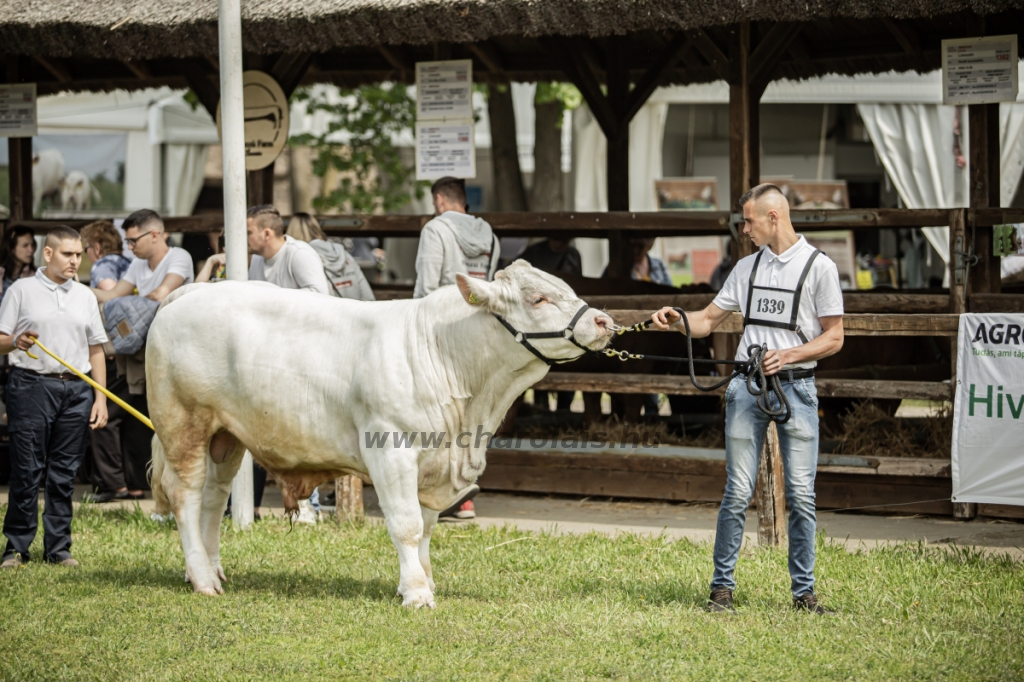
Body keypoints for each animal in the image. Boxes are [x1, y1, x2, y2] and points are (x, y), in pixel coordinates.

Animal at [147, 260, 610, 606]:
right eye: (538, 298)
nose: (604, 320)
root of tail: (194, 291)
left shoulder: (433, 464)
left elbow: (426, 528)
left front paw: (420, 580)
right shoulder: (392, 450)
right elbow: (406, 524)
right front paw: (419, 594)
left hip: (226, 438)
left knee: (214, 497)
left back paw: (210, 569)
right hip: (183, 422)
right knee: (186, 495)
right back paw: (203, 579)